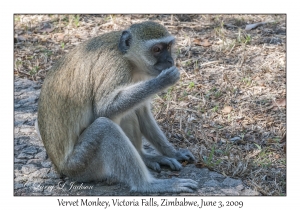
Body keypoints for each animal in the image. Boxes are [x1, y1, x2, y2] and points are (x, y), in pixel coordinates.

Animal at [37, 21, 197, 194]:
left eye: (168, 47)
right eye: (157, 50)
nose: (169, 60)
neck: (128, 57)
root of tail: (59, 168)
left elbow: (141, 111)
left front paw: (174, 152)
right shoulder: (116, 66)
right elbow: (104, 109)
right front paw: (163, 80)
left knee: (128, 113)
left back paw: (145, 157)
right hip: (80, 165)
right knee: (105, 127)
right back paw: (148, 185)